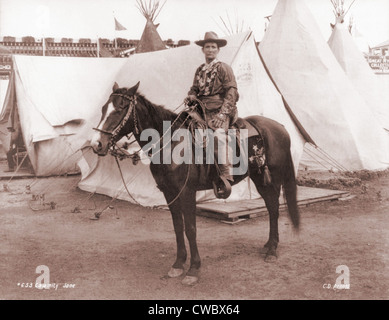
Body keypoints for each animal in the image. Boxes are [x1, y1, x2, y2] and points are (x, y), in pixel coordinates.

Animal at [91, 82, 300, 284]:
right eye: (103, 108)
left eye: (120, 108)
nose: (96, 144)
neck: (171, 144)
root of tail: (280, 127)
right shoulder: (169, 193)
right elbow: (178, 227)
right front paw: (178, 264)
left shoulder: (187, 192)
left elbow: (191, 229)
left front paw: (193, 269)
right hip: (259, 178)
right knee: (271, 207)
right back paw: (268, 246)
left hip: (272, 179)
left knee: (274, 208)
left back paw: (272, 250)